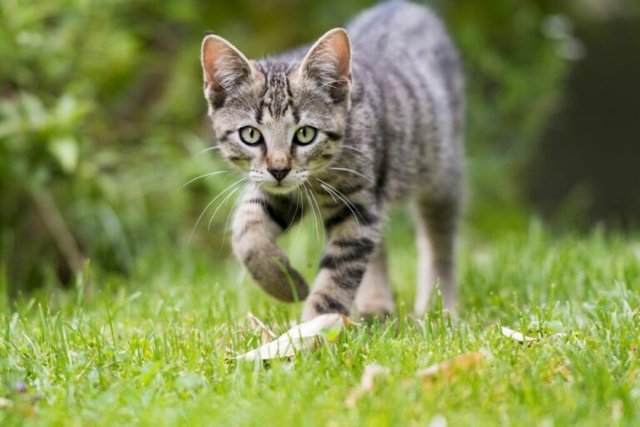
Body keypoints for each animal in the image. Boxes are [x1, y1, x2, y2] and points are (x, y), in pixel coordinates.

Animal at [198, 0, 462, 320]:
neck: (318, 177)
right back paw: (375, 305)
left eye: (305, 134)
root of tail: (404, 6)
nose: (279, 170)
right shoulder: (282, 192)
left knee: (439, 239)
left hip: (440, 170)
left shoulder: (358, 206)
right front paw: (284, 283)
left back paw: (439, 308)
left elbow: (338, 274)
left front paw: (317, 326)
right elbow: (246, 229)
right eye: (250, 134)